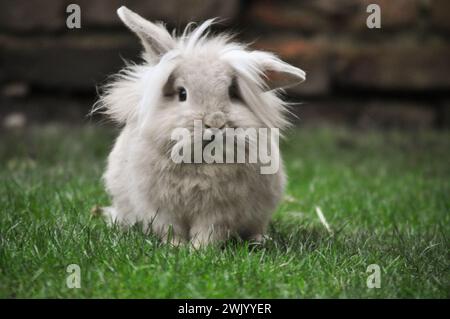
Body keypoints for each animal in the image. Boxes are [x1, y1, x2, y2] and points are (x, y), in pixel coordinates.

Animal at [95, 6, 306, 249]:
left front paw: (198, 251)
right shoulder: (161, 209)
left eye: (232, 93)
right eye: (182, 93)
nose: (215, 122)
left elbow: (209, 232)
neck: (201, 161)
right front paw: (175, 248)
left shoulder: (218, 211)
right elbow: (170, 229)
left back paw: (259, 240)